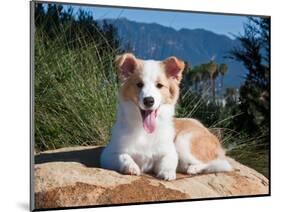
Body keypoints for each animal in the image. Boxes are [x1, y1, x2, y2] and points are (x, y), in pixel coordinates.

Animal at [99, 52, 231, 180]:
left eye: (159, 85)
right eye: (139, 84)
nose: (149, 100)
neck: (144, 131)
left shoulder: (170, 152)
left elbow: (168, 162)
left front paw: (167, 173)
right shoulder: (108, 154)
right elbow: (124, 157)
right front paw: (132, 167)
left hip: (184, 140)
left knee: (219, 164)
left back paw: (193, 169)